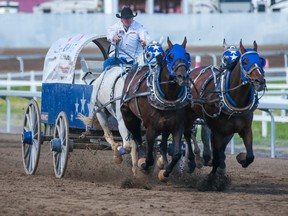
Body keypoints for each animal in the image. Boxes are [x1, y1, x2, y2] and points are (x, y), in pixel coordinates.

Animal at [79, 40, 164, 177]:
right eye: (149, 54)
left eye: (163, 54)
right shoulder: (123, 122)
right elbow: (129, 145)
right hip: (100, 112)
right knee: (108, 135)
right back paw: (117, 154)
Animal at [120, 36, 192, 181]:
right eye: (170, 56)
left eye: (187, 55)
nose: (182, 76)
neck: (168, 97)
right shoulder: (151, 128)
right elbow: (149, 157)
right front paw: (144, 166)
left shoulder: (177, 126)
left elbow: (176, 154)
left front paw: (165, 172)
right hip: (128, 116)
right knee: (137, 139)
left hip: (165, 127)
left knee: (162, 145)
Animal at [187, 40, 266, 179]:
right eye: (245, 61)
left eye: (260, 60)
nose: (259, 81)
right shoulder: (217, 131)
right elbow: (216, 154)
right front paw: (212, 175)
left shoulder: (244, 128)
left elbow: (250, 156)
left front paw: (239, 159)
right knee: (189, 133)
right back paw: (195, 160)